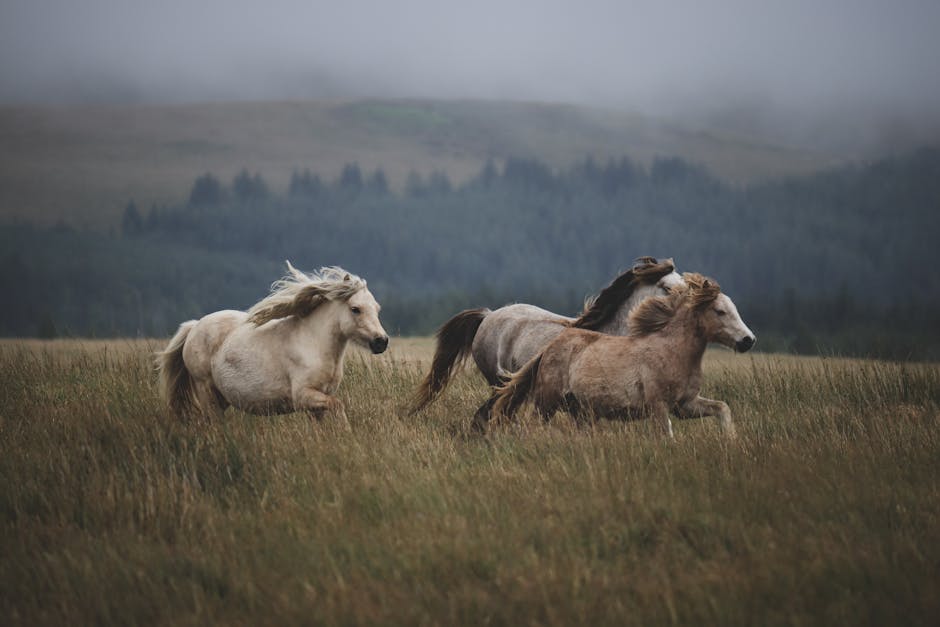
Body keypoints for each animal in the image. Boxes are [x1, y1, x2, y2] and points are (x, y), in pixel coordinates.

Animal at [157, 263, 389, 425]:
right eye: (355, 309)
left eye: (377, 308)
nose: (381, 342)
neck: (314, 344)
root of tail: (194, 326)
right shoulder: (303, 396)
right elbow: (339, 406)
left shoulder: (318, 401)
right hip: (206, 390)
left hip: (220, 398)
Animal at [487, 273, 755, 438]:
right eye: (719, 311)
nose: (748, 340)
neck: (672, 352)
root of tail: (549, 348)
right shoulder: (658, 405)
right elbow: (667, 434)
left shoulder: (685, 405)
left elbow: (722, 408)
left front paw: (730, 440)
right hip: (546, 402)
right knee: (532, 424)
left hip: (580, 411)